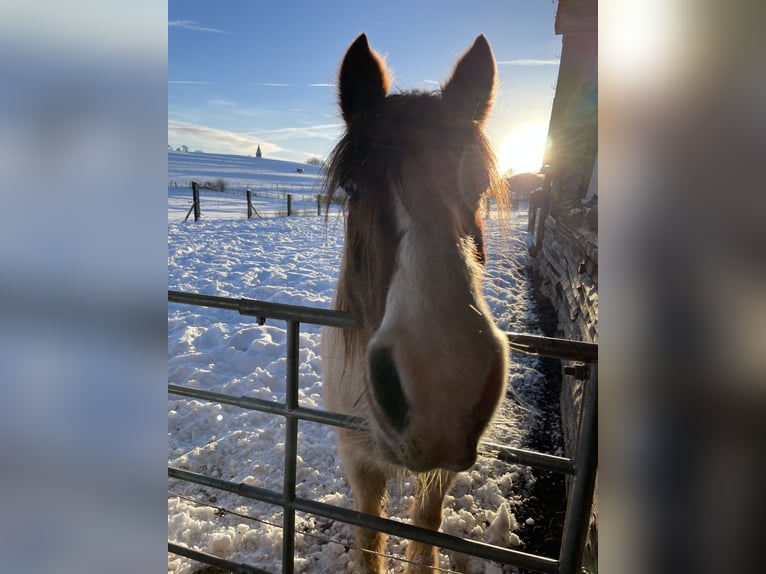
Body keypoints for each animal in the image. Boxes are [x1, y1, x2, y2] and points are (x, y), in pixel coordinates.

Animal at [320, 33, 512, 572]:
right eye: (352, 187)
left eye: (478, 185)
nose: (442, 384)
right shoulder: (357, 460)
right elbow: (369, 536)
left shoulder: (441, 472)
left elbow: (426, 531)